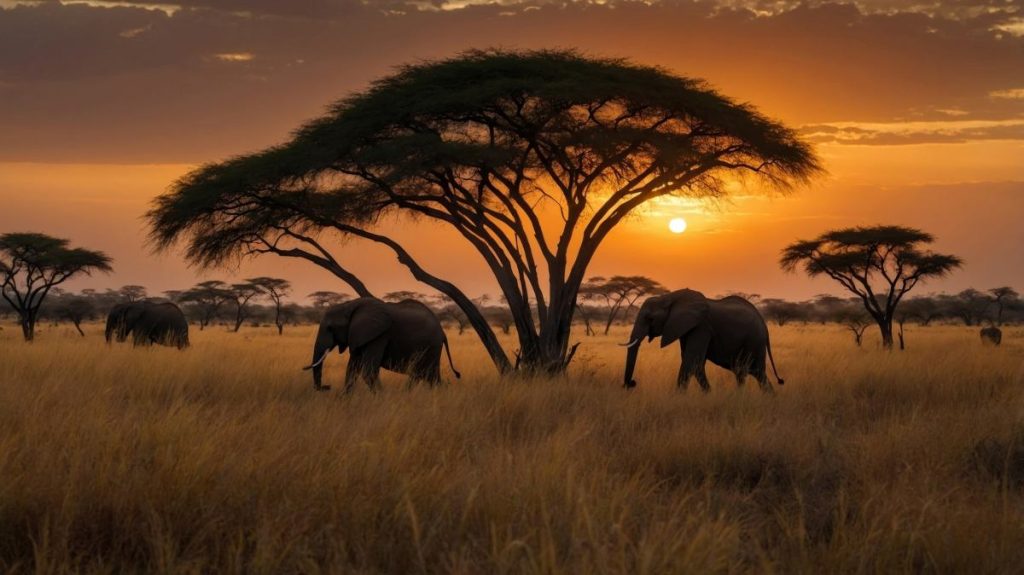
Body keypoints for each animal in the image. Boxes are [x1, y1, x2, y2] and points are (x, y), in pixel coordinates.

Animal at [302, 297, 460, 392]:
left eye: (330, 328)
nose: (327, 387)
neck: (349, 305)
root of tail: (443, 332)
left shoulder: (379, 336)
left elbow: (368, 371)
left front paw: (381, 401)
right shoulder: (359, 336)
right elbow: (352, 368)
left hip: (430, 346)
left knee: (425, 374)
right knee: (428, 375)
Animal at [621, 288, 784, 393]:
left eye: (650, 319)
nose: (632, 383)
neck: (670, 297)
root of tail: (764, 323)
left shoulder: (702, 327)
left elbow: (691, 360)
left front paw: (678, 398)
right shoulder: (685, 328)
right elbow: (695, 363)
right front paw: (709, 394)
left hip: (754, 340)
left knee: (756, 372)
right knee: (746, 372)